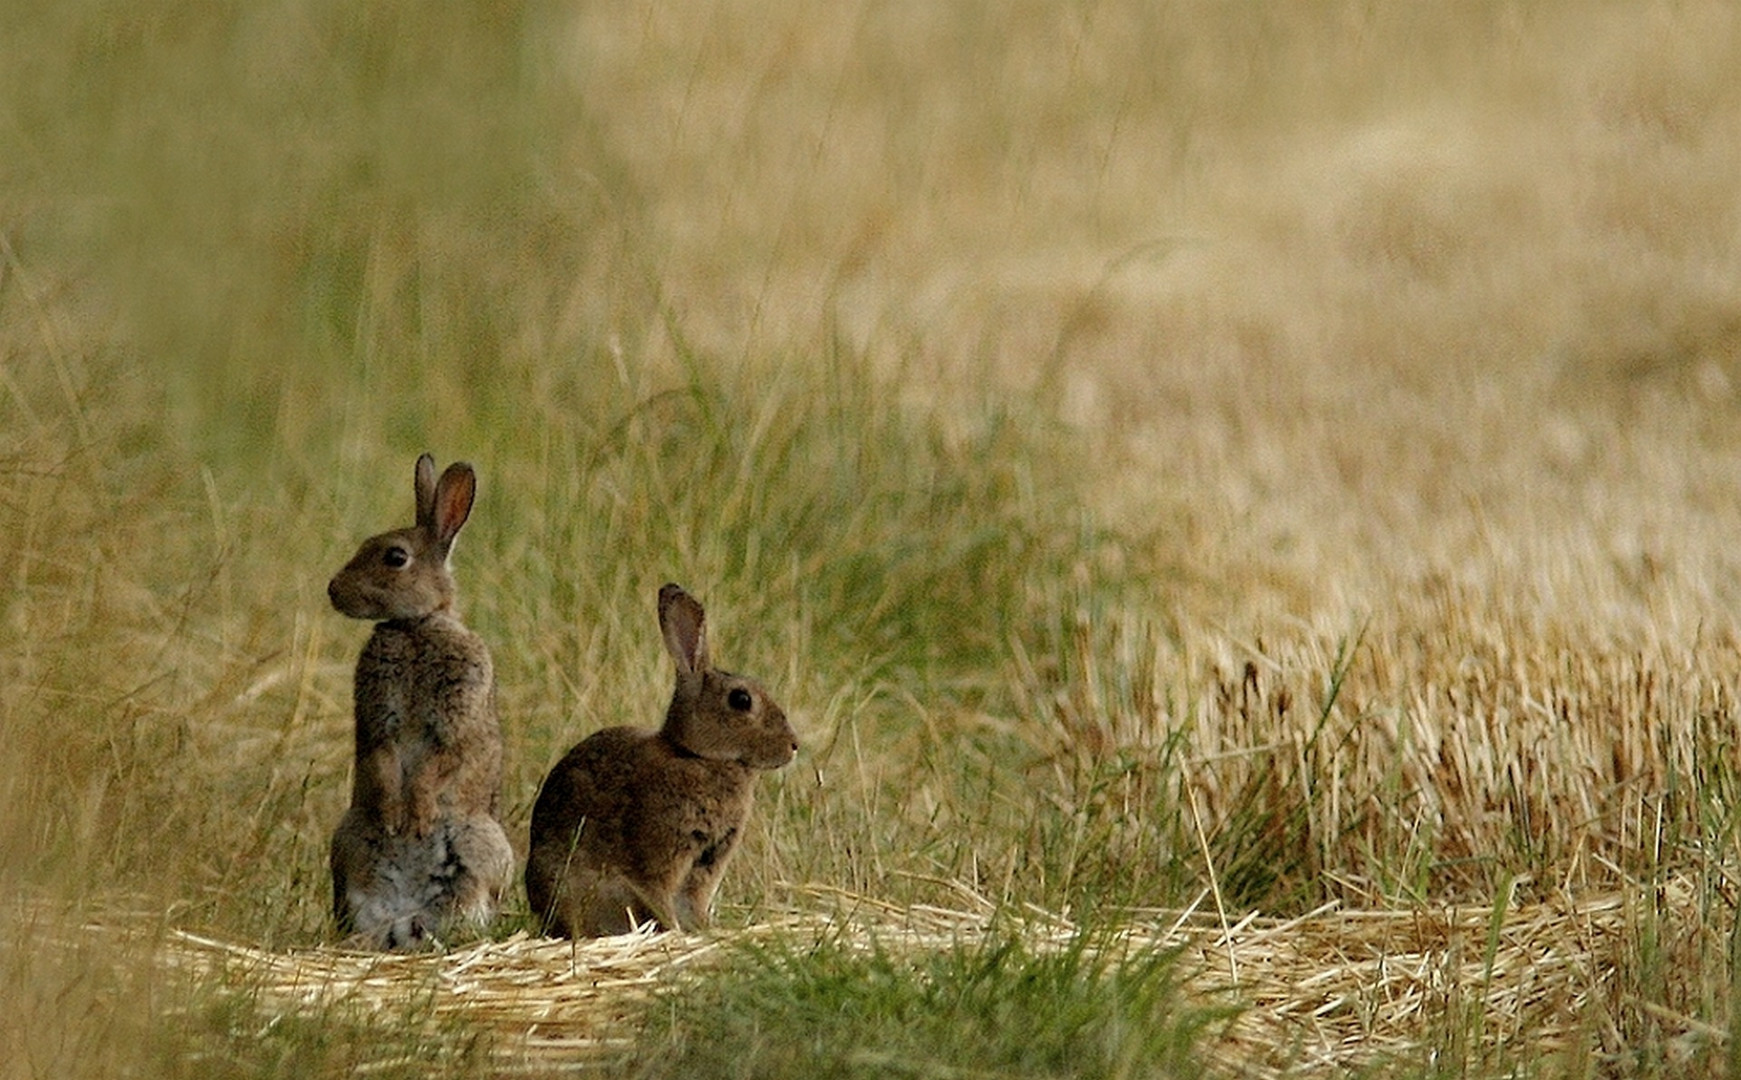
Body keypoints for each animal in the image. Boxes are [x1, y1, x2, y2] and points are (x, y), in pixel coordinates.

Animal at [327, 452, 511, 947]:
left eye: (395, 557)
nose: (333, 591)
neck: (417, 626)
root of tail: (406, 917)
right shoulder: (378, 722)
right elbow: (385, 760)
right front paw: (396, 817)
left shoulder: (455, 720)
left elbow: (436, 765)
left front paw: (418, 816)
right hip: (350, 841)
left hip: (478, 845)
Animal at [525, 581, 797, 933]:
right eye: (741, 699)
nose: (793, 745)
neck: (697, 757)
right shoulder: (656, 858)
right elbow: (659, 897)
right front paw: (678, 932)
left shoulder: (704, 867)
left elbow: (693, 904)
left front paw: (705, 931)